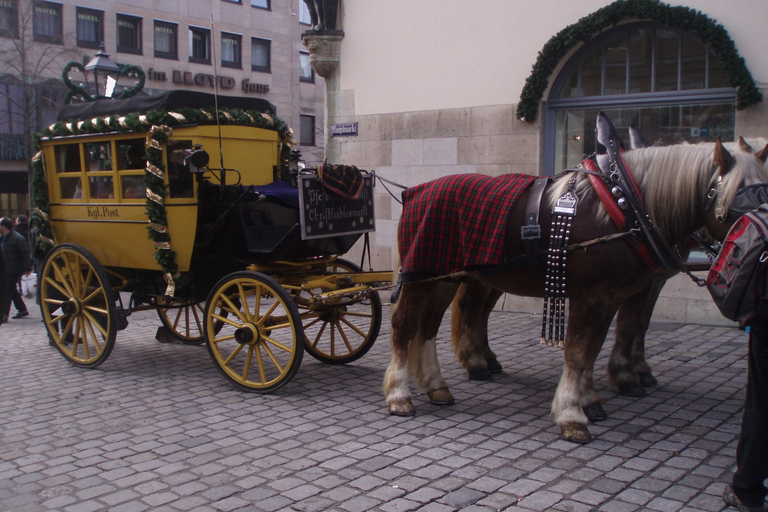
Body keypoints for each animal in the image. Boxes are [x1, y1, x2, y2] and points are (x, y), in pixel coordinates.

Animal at [388, 136, 768, 444]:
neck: (623, 207)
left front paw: (591, 399)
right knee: (405, 326)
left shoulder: (613, 297)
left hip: (444, 278)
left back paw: (436, 384)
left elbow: (596, 348)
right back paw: (400, 395)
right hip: (422, 278)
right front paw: (572, 415)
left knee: (429, 327)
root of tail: (414, 191)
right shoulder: (592, 296)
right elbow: (578, 352)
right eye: (739, 198)